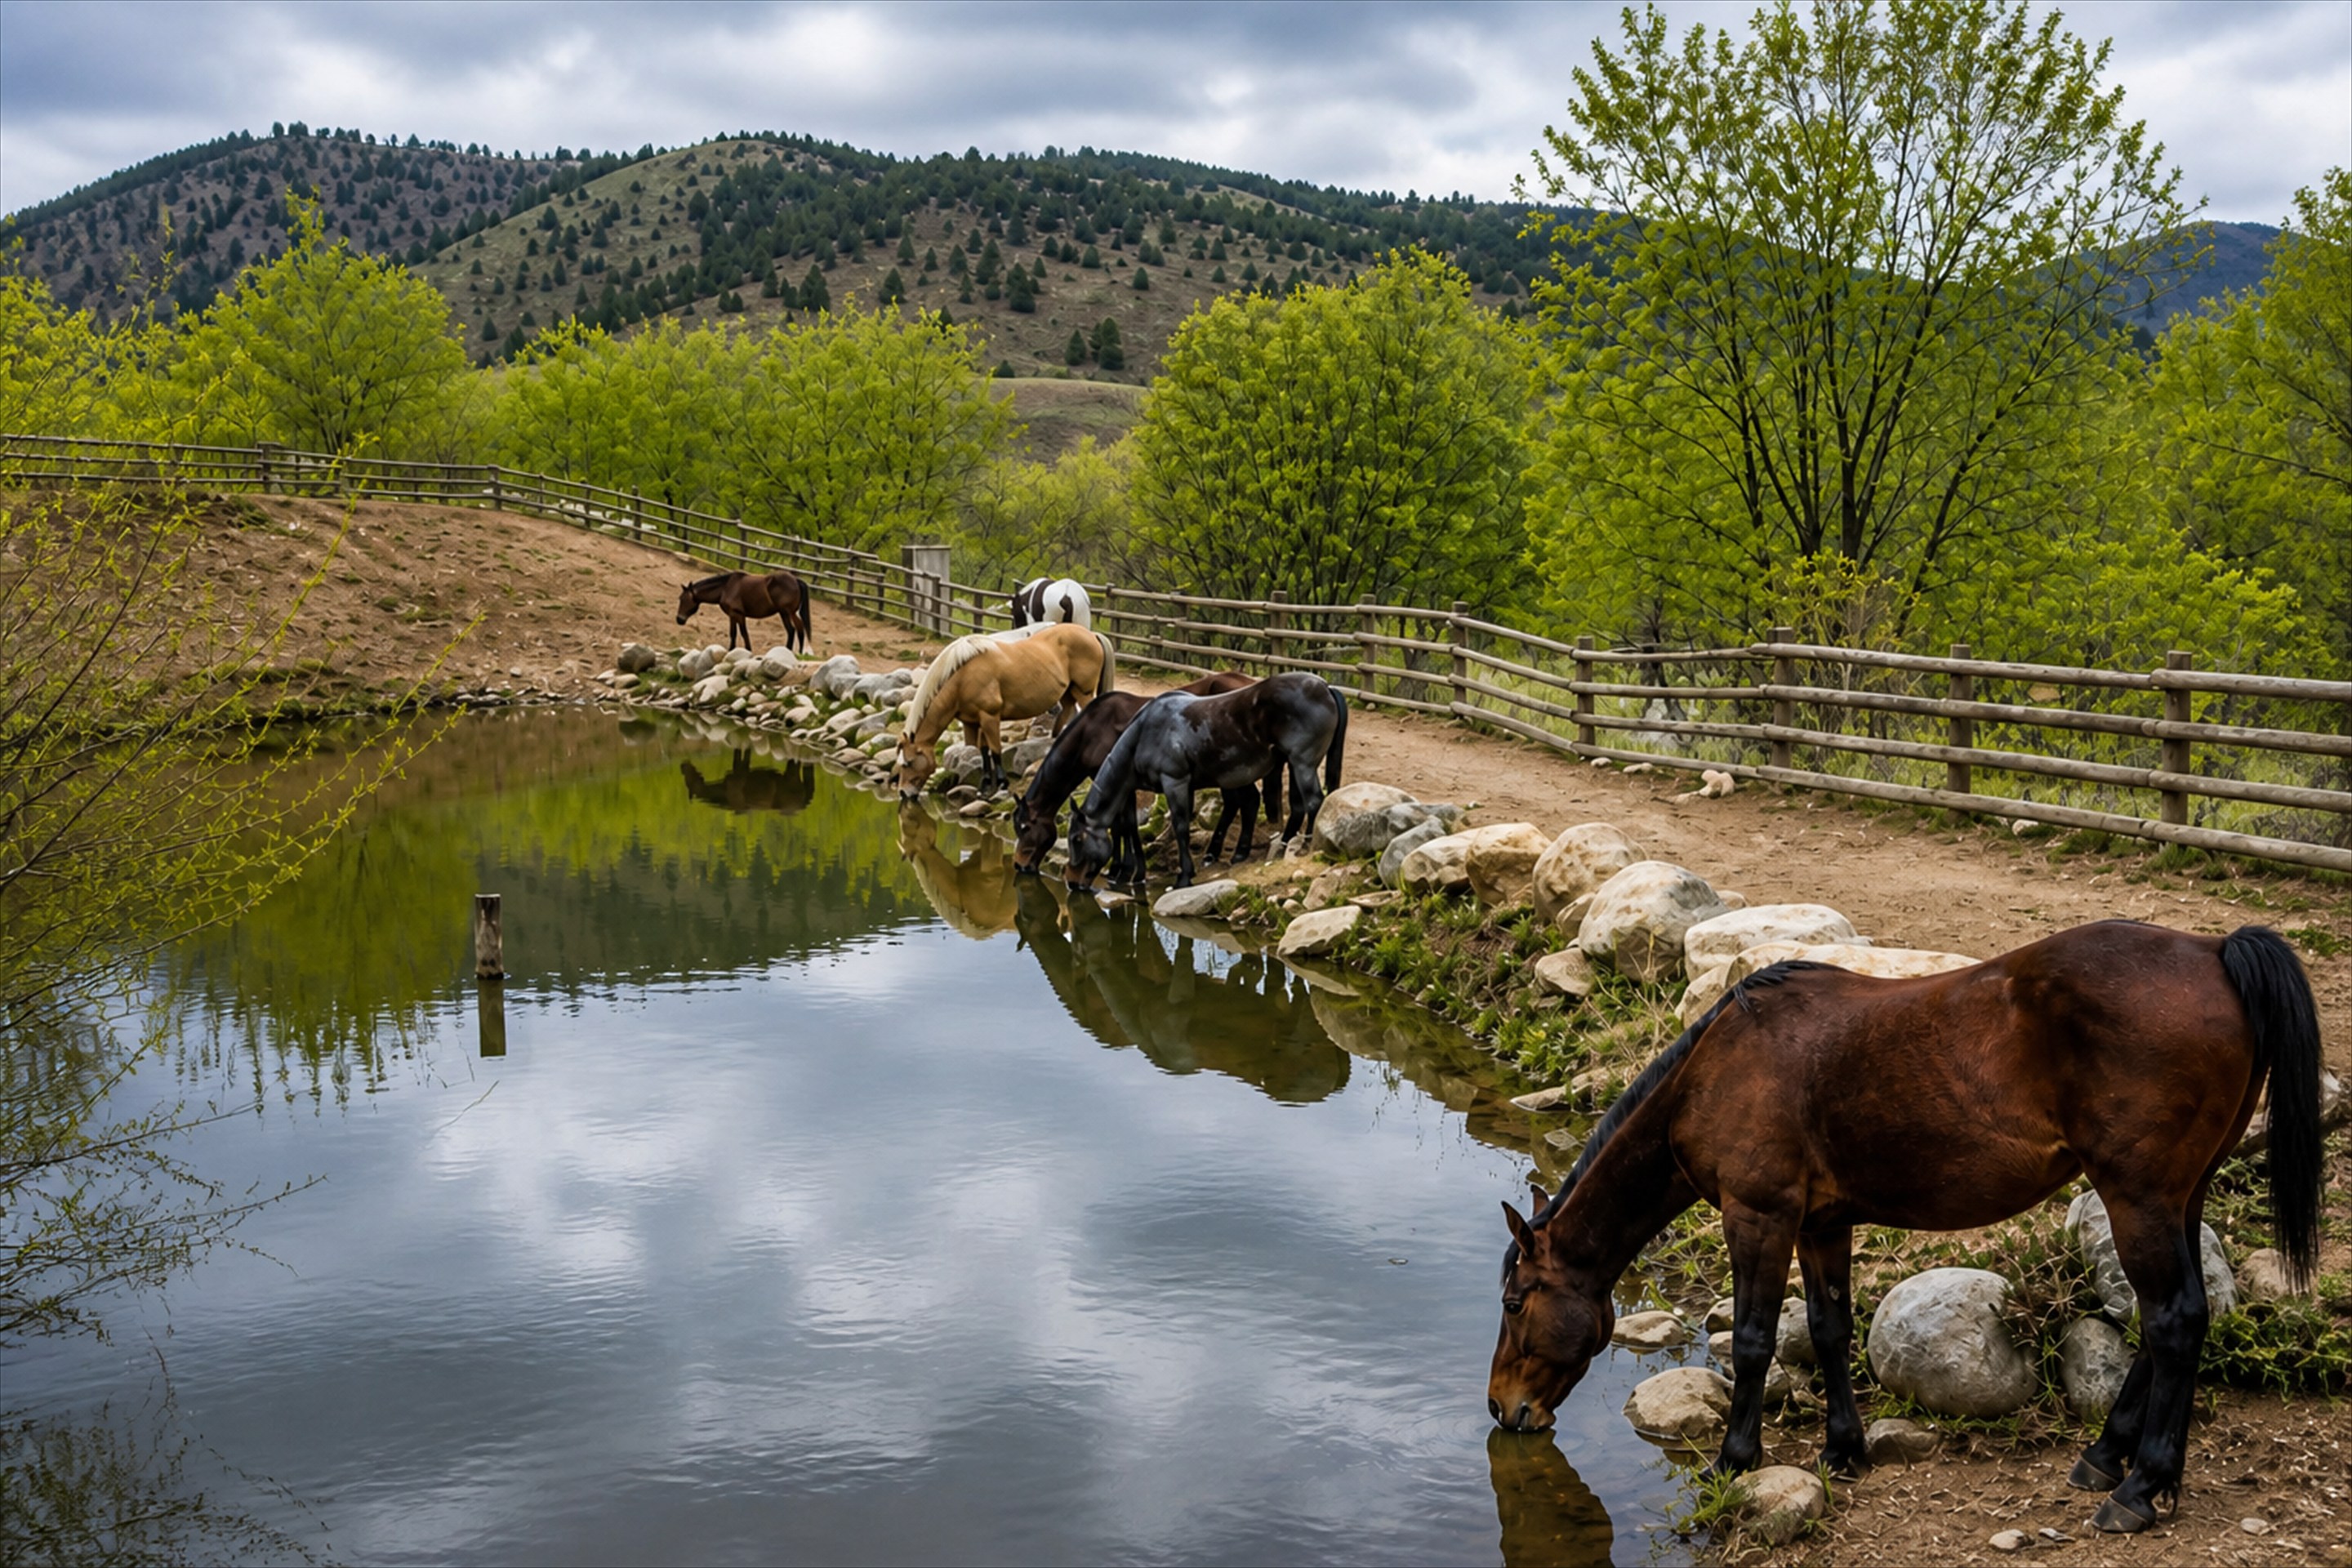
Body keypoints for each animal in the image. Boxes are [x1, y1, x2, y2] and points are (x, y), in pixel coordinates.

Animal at [676, 570, 812, 653]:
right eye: (680, 598)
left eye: (683, 599)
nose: (679, 619)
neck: (726, 588)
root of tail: (796, 580)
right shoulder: (732, 615)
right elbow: (733, 633)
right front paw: (731, 650)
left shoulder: (738, 615)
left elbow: (743, 633)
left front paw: (748, 650)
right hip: (788, 613)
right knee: (797, 630)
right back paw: (795, 652)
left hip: (787, 613)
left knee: (795, 630)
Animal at [895, 622, 1115, 799]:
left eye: (909, 763)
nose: (903, 793)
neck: (963, 677)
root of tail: (1091, 634)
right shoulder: (975, 721)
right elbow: (983, 751)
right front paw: (985, 786)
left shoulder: (990, 717)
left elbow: (995, 749)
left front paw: (1001, 783)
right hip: (1068, 692)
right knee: (1067, 712)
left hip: (1083, 692)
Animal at [1012, 672, 1268, 880]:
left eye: (1025, 828)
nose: (1019, 865)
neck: (1091, 731)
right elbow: (1126, 823)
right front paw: (1128, 869)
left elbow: (1121, 824)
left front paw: (1124, 870)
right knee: (1237, 802)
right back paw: (1214, 853)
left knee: (1248, 800)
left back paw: (1237, 853)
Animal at [1066, 672, 1346, 889]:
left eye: (1077, 840)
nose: (1071, 882)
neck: (1144, 733)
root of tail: (1325, 687)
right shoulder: (1183, 787)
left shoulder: (1175, 783)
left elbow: (1180, 826)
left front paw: (1183, 876)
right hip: (1295, 765)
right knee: (1302, 805)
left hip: (1302, 764)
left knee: (1314, 802)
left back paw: (1306, 847)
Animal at [1488, 921, 2323, 1536]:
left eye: (1513, 1302)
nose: (1502, 1408)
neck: (1716, 1070)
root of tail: (2213, 951)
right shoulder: (1821, 1223)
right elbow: (1828, 1328)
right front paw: (1843, 1450)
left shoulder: (1758, 1216)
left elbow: (1755, 1340)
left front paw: (1734, 1460)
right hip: (2180, 1197)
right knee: (2170, 1322)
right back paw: (2107, 1458)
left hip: (2139, 1198)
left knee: (2174, 1321)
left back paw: (2139, 1491)